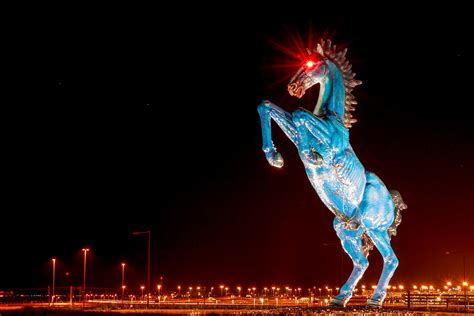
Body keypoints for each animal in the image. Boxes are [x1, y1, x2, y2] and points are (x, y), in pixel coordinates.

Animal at [258, 38, 406, 308]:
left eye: (310, 64)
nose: (293, 87)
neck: (332, 119)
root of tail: (393, 202)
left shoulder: (325, 138)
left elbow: (300, 115)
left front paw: (312, 156)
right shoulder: (295, 132)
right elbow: (270, 108)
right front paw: (275, 158)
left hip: (374, 228)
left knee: (390, 259)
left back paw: (374, 300)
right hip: (346, 228)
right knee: (362, 262)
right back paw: (340, 298)